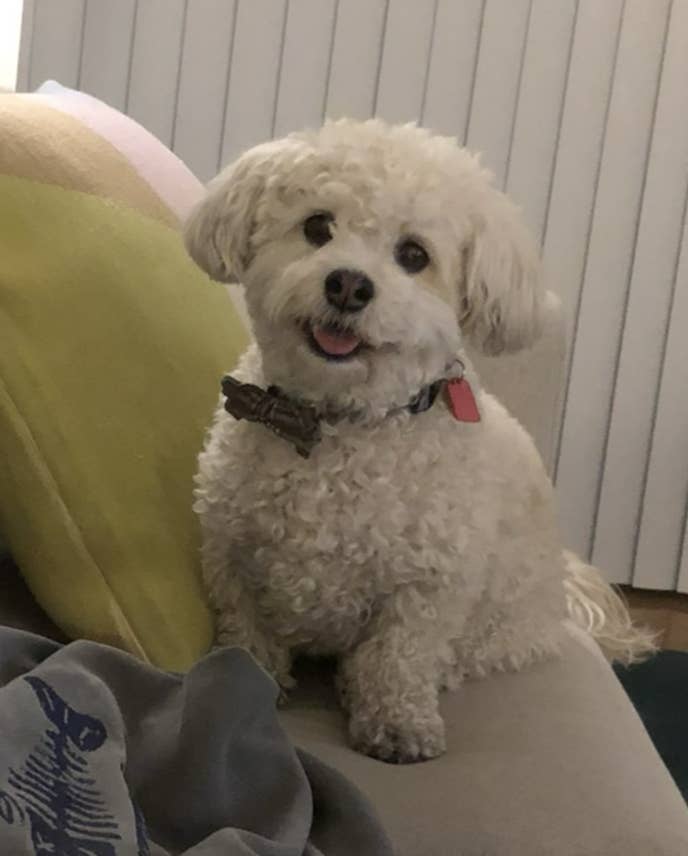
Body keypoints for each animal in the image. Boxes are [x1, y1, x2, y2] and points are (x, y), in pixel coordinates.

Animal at [185, 118, 652, 764]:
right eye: (317, 227)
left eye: (413, 256)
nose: (348, 285)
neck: (339, 423)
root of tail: (565, 588)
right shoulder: (231, 552)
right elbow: (245, 632)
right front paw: (248, 681)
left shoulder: (428, 587)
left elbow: (397, 657)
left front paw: (396, 723)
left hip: (501, 628)